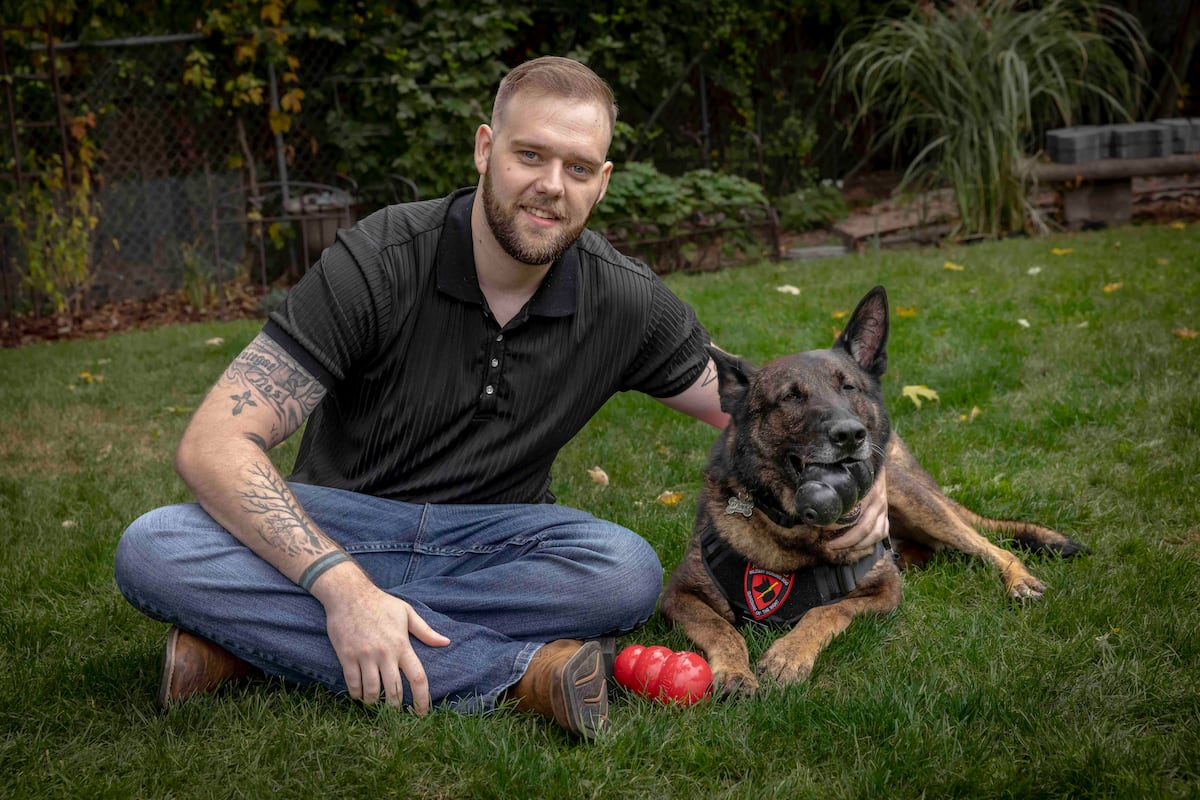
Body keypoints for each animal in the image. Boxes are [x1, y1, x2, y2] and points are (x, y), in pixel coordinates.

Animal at [662, 286, 1084, 695]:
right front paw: (736, 672)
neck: (797, 536)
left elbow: (826, 610)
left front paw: (789, 654)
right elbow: (723, 629)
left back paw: (1019, 581)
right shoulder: (678, 594)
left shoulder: (884, 591)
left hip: (915, 500)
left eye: (849, 386)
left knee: (991, 546)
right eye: (791, 396)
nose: (851, 435)